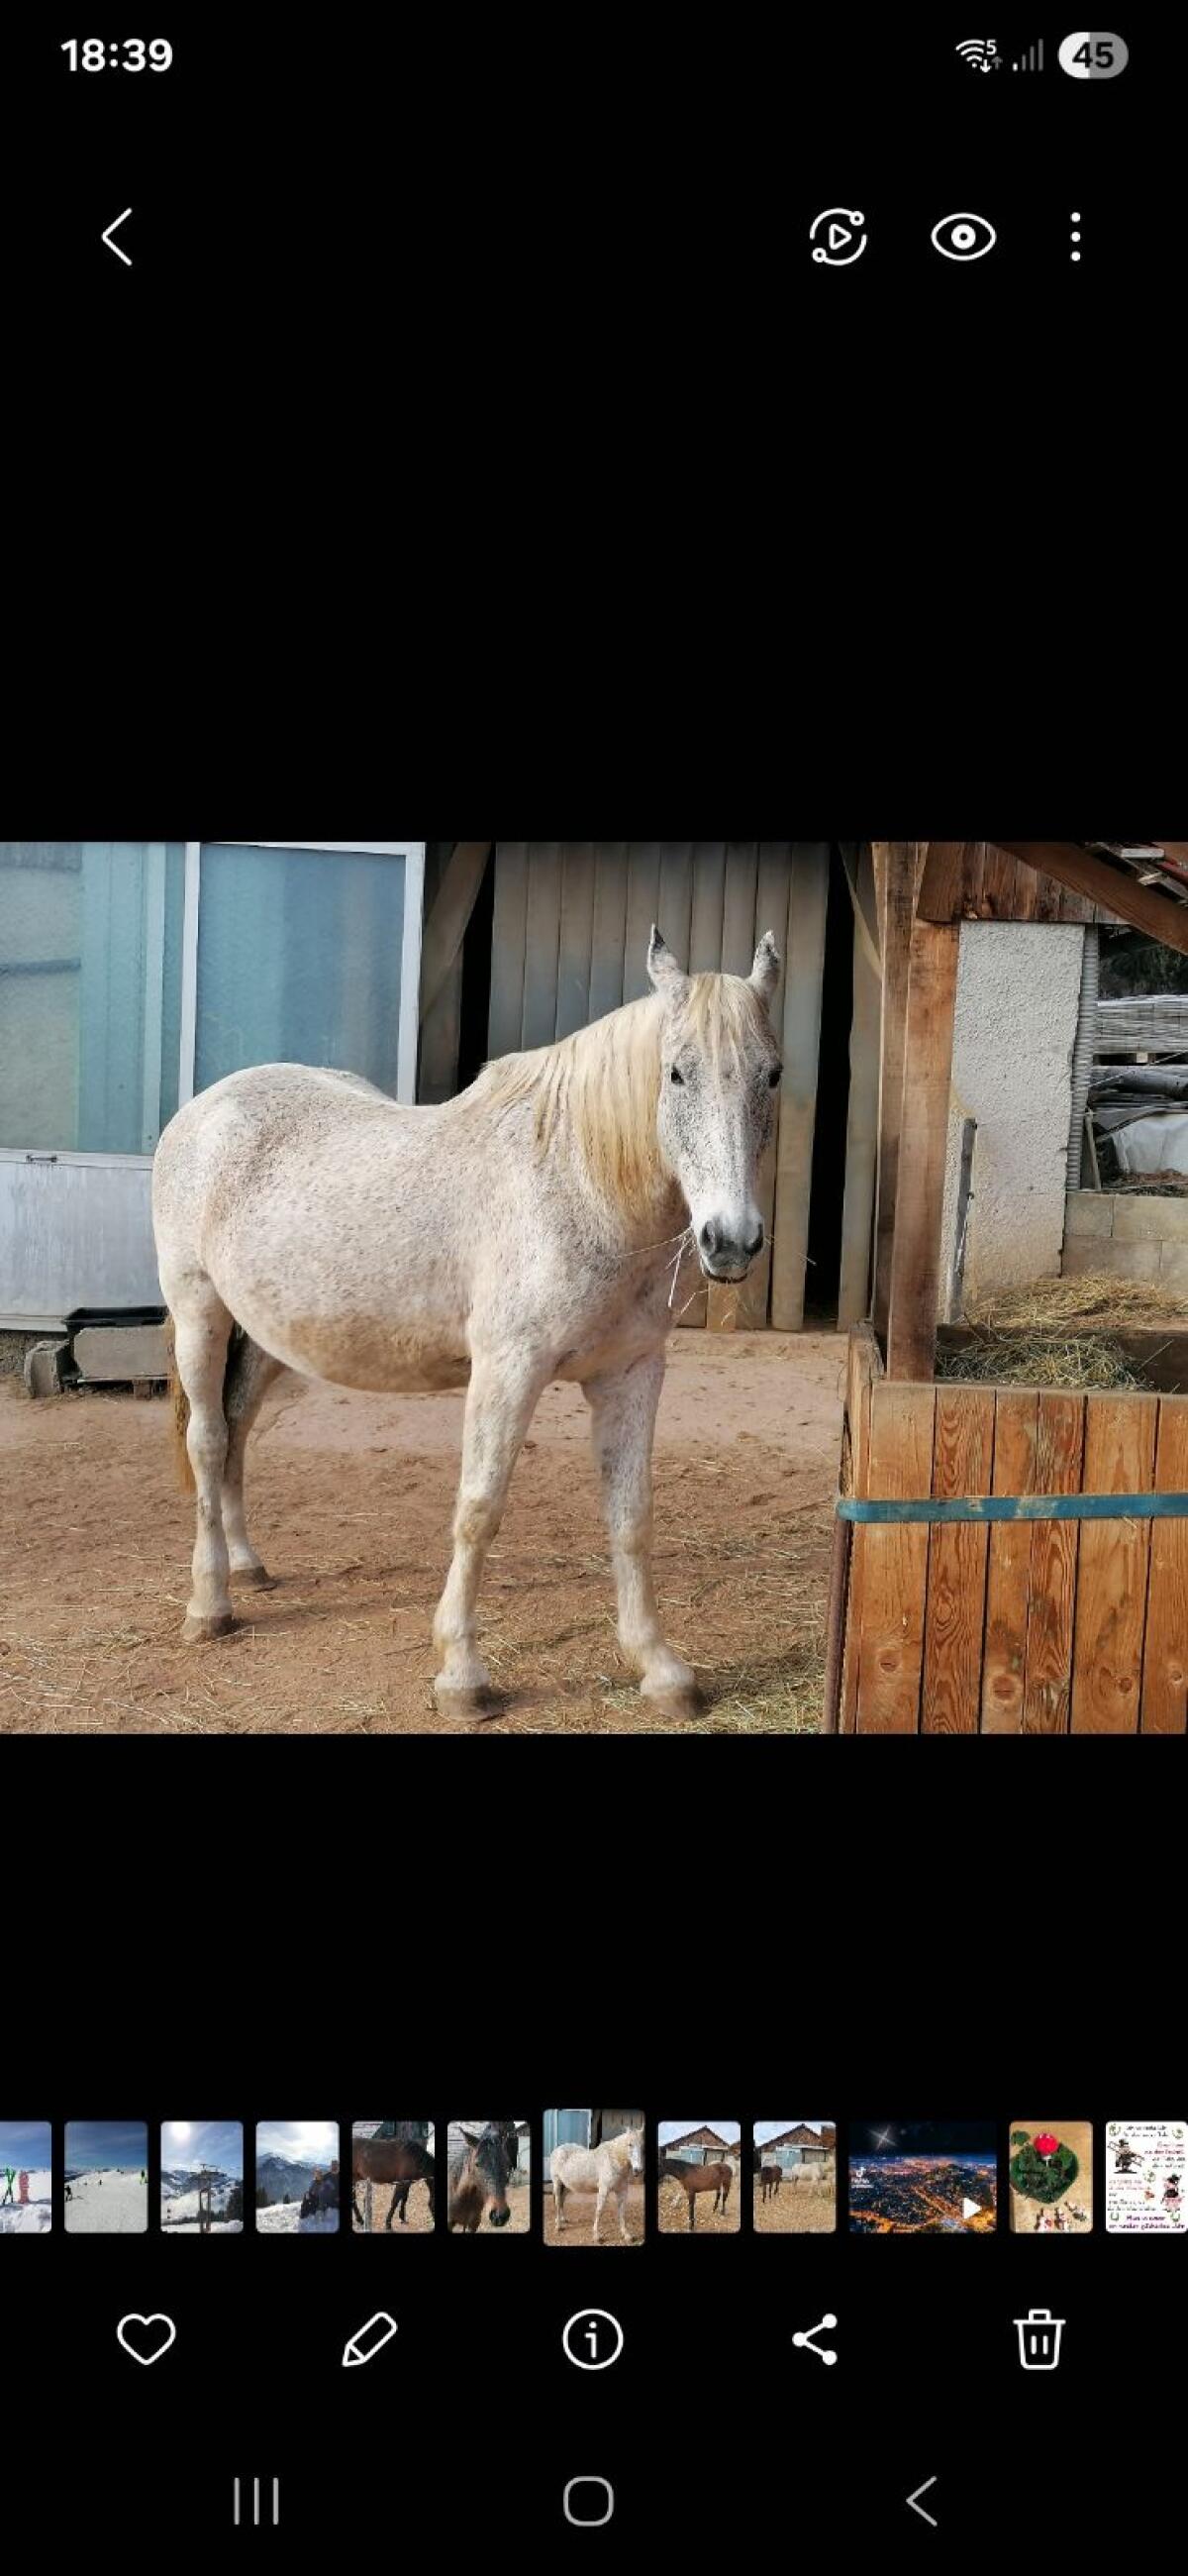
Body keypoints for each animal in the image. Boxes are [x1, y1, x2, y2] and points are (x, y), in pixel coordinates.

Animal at [152, 926, 783, 1721]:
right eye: (675, 1074)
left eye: (772, 1075)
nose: (730, 1240)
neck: (573, 1182)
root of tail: (206, 1106)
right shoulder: (508, 1368)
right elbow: (479, 1509)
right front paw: (462, 1674)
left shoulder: (631, 1373)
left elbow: (631, 1515)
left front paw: (661, 1669)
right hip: (198, 1311)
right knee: (207, 1441)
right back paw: (210, 1605)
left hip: (266, 1338)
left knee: (236, 1431)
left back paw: (246, 1565)